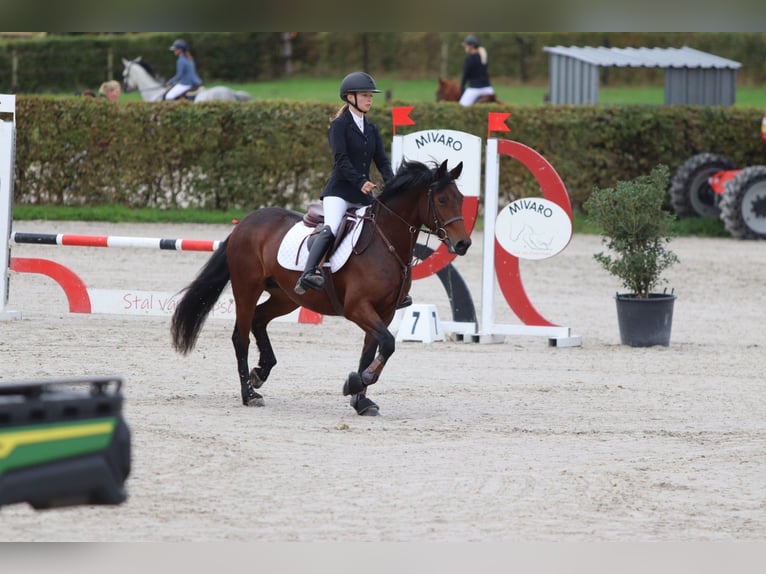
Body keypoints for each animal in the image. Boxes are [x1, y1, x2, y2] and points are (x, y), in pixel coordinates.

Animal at [170, 159, 472, 416]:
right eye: (441, 199)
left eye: (460, 199)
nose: (463, 244)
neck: (386, 243)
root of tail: (244, 223)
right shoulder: (357, 308)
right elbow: (387, 343)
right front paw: (359, 381)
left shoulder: (384, 312)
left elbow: (372, 349)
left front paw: (360, 398)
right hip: (247, 288)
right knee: (240, 337)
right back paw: (249, 394)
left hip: (286, 297)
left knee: (259, 319)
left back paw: (261, 372)